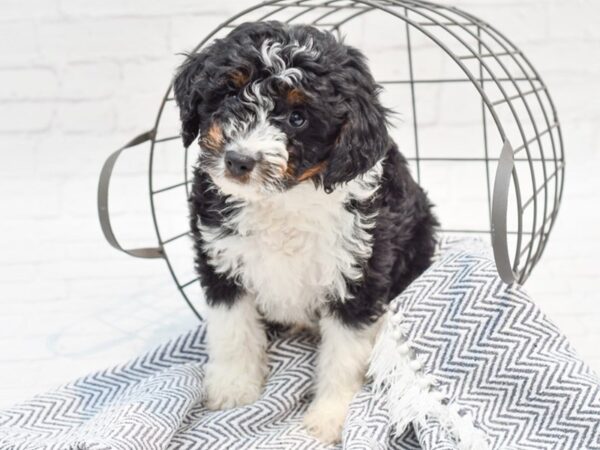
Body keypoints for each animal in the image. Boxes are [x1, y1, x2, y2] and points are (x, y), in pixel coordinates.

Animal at [172, 21, 436, 442]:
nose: (239, 160)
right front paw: (233, 389)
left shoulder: (359, 272)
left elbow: (343, 354)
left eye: (298, 118)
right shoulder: (222, 258)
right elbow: (232, 331)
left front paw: (329, 418)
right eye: (230, 92)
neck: (283, 199)